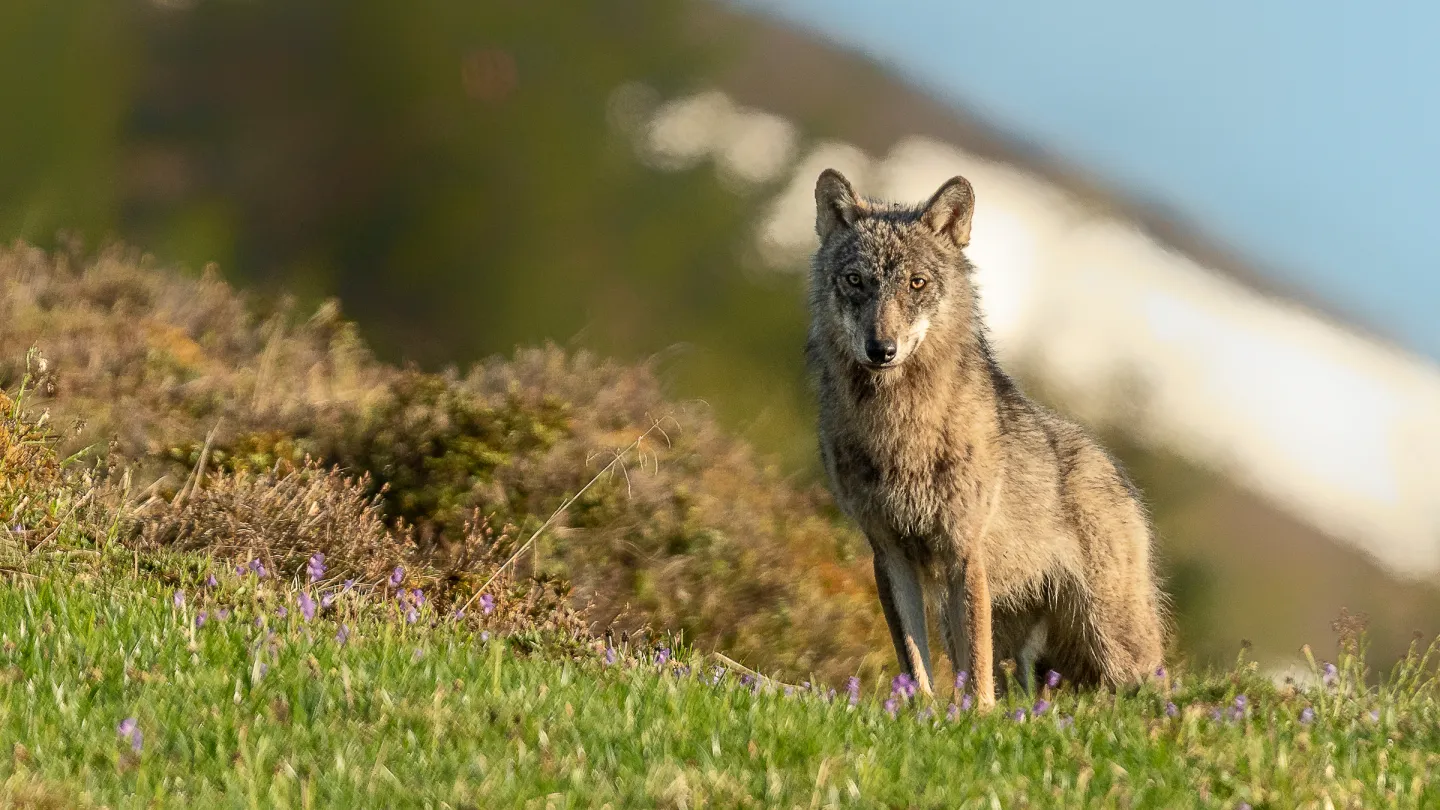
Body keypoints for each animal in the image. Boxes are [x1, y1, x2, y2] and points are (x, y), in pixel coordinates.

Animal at [806, 169, 1166, 709]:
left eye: (917, 283)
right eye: (855, 281)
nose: (881, 349)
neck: (901, 431)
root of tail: (1118, 473)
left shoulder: (963, 550)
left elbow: (974, 669)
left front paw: (977, 717)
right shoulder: (888, 552)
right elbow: (914, 659)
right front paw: (921, 712)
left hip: (1113, 642)